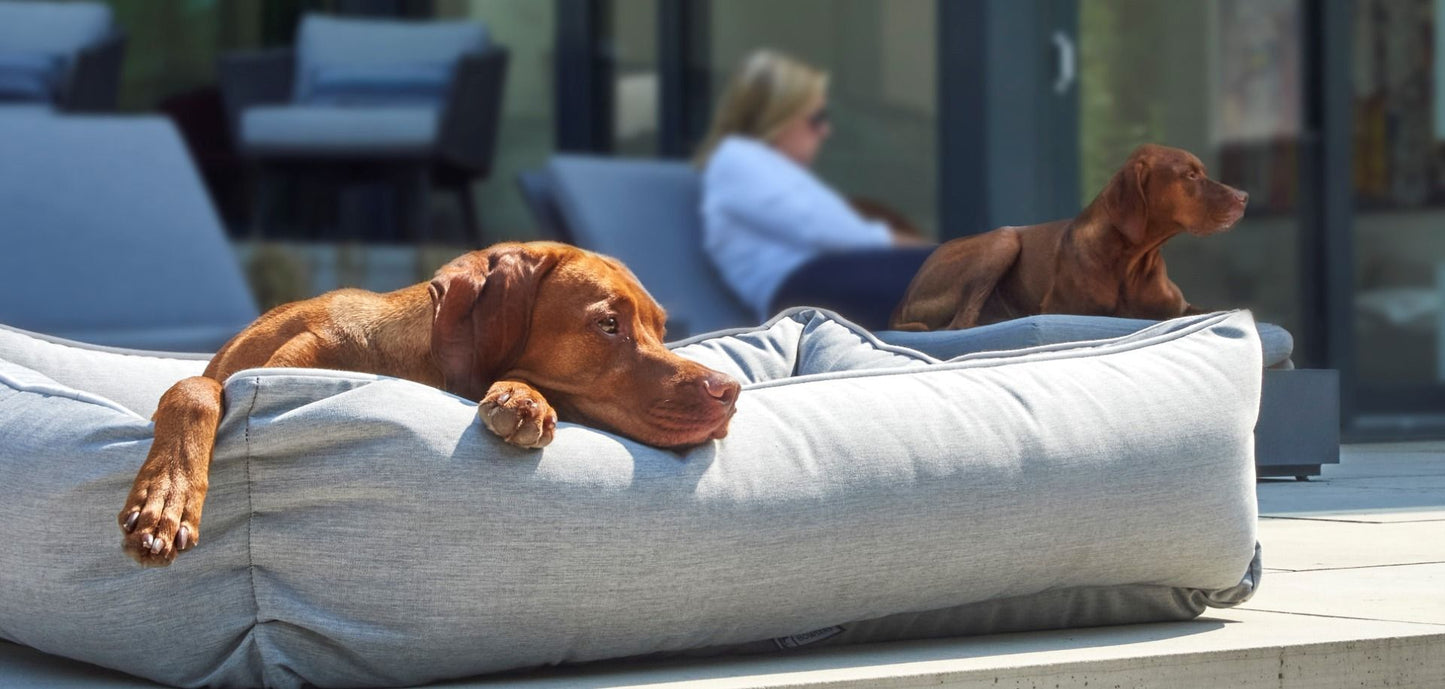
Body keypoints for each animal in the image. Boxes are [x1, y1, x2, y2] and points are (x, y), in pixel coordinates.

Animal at [118, 239, 739, 563]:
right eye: (609, 324)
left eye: (662, 327)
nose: (728, 391)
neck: (401, 363)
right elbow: (194, 389)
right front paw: (167, 498)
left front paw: (526, 399)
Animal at [884, 143, 1248, 329]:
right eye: (1190, 175)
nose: (1244, 197)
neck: (1130, 261)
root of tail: (900, 302)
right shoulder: (1069, 310)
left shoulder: (1180, 308)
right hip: (1003, 239)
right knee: (961, 324)